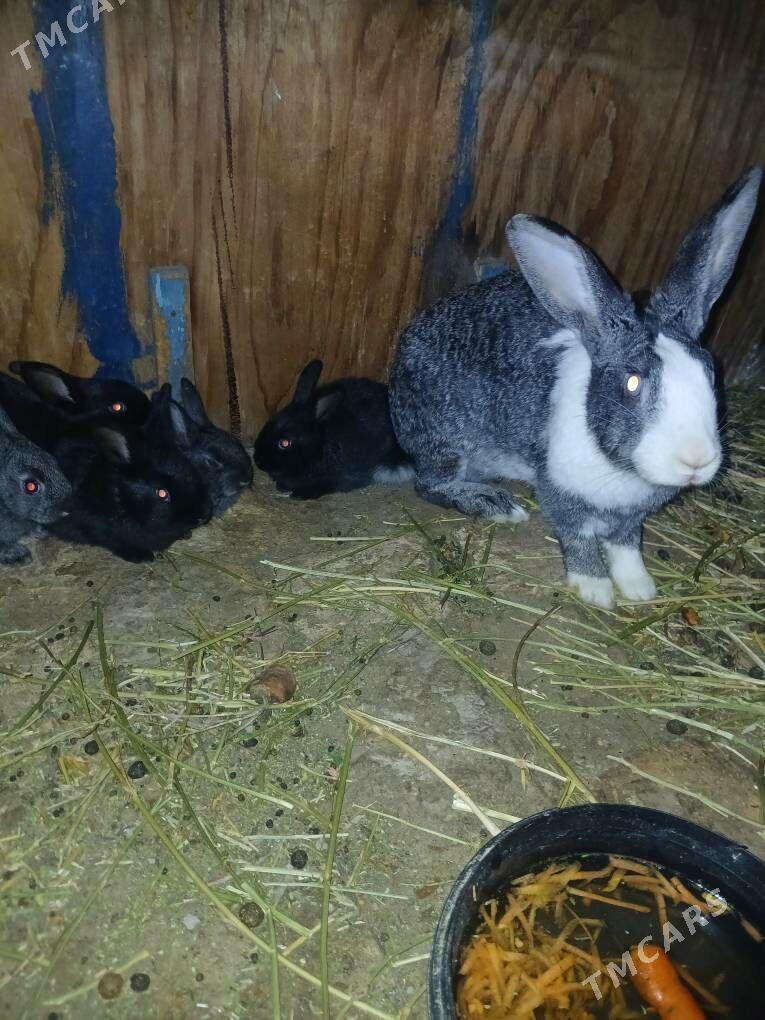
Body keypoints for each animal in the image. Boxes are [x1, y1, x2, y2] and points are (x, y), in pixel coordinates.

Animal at [390, 167, 762, 608]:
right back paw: (496, 505)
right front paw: (596, 590)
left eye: (710, 372)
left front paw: (639, 588)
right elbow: (579, 539)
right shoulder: (561, 495)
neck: (624, 471)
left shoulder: (630, 518)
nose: (696, 460)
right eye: (632, 383)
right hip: (446, 437)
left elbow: (626, 544)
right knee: (430, 483)